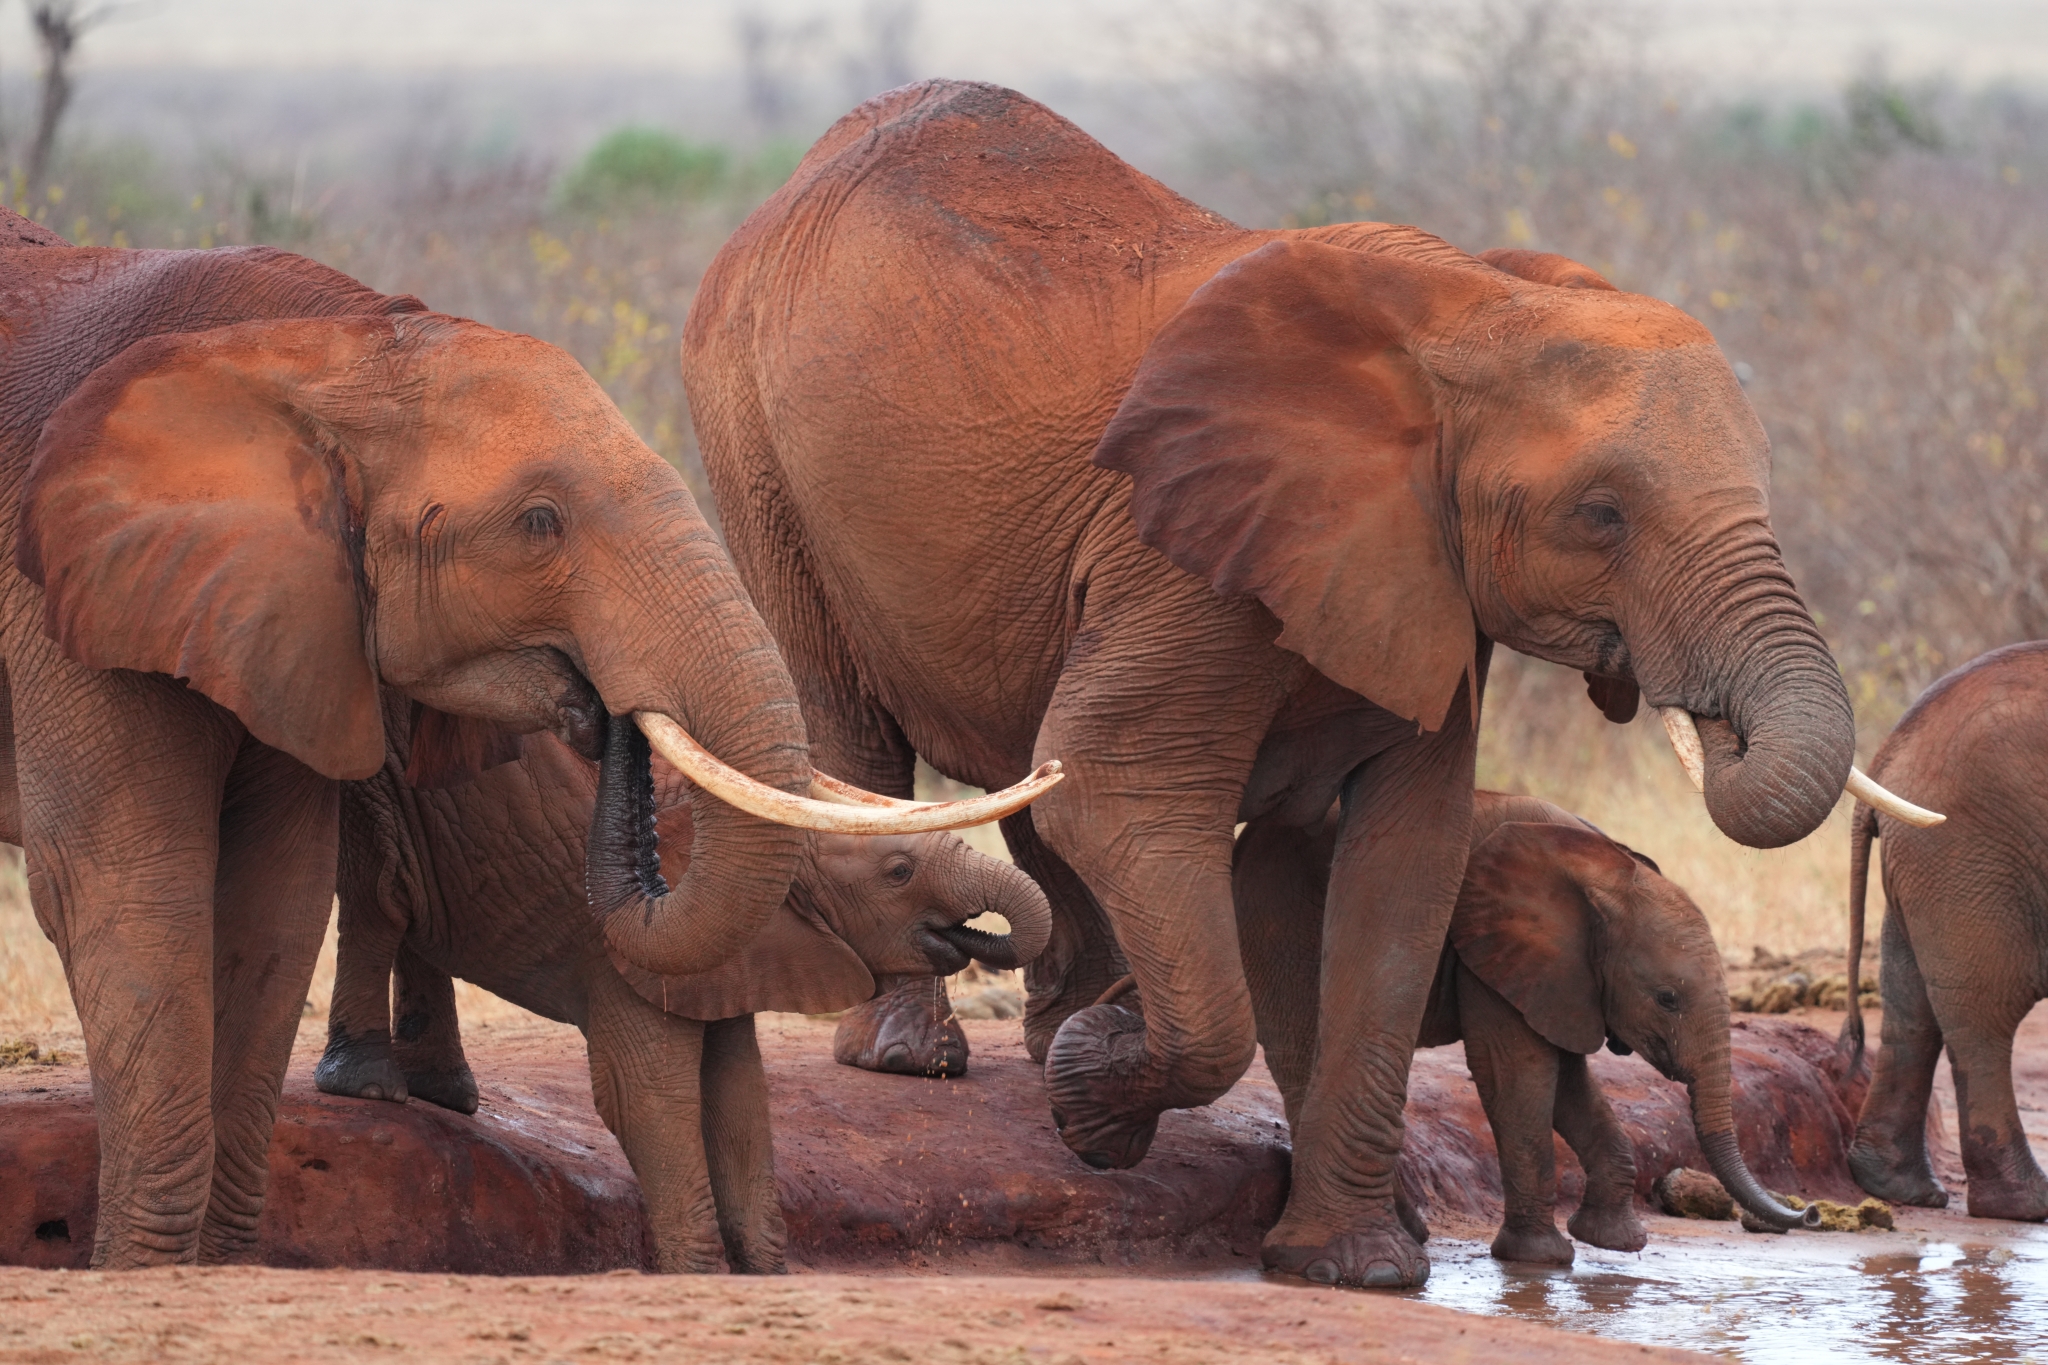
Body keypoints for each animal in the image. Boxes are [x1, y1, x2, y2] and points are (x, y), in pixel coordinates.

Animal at [318, 704, 1050, 1271]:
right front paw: (699, 1275)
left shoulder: (733, 959)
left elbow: (738, 1095)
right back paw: (372, 1088)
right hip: (377, 795)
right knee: (376, 904)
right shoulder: (627, 962)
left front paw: (765, 1276)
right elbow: (650, 1098)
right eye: (899, 872)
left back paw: (446, 1094)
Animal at [1234, 789, 1816, 1267]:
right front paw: (1542, 1258)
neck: (1606, 871)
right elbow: (1517, 1071)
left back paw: (1406, 1231)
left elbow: (1569, 1082)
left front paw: (1613, 1241)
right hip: (1279, 918)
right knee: (1306, 1049)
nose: (1809, 1213)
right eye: (1667, 999)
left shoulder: (1563, 977)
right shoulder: (1493, 949)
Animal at [1843, 640, 2048, 1221]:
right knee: (1985, 1015)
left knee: (1911, 1010)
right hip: (1971, 853)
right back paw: (2024, 1206)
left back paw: (1898, 1187)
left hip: (1930, 867)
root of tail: (1888, 755)